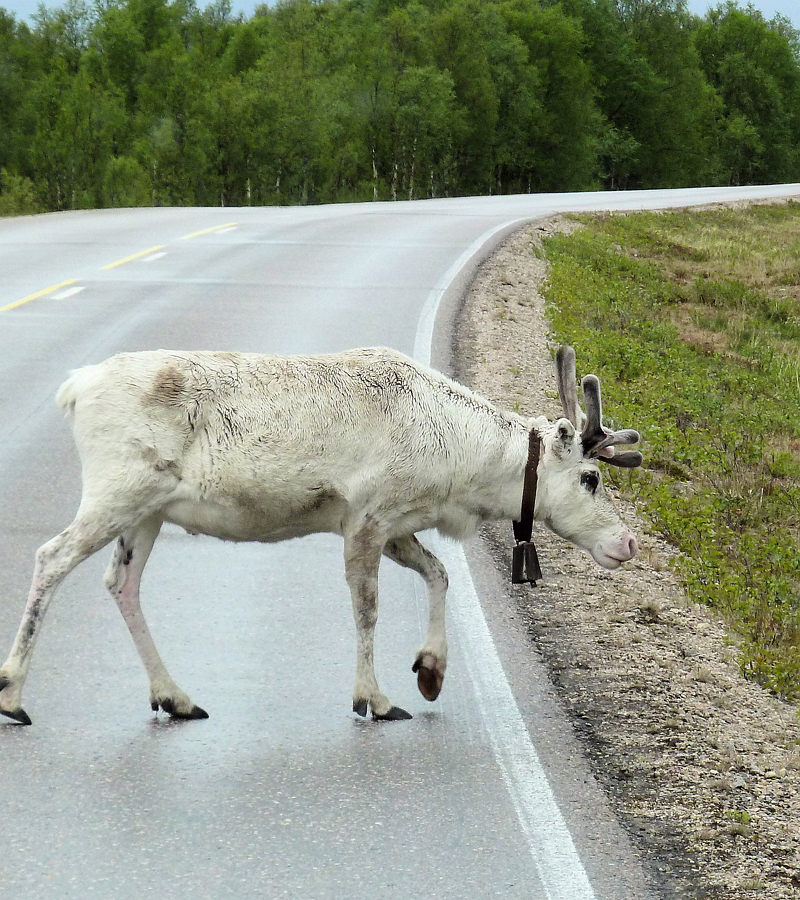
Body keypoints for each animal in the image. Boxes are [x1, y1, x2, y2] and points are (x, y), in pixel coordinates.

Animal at [0, 346, 641, 725]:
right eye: (590, 478)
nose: (629, 543)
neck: (463, 468)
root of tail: (74, 388)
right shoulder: (366, 519)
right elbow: (367, 609)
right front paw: (376, 699)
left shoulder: (396, 526)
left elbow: (440, 573)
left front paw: (431, 672)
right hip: (118, 492)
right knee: (52, 557)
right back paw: (12, 697)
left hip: (148, 513)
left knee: (121, 581)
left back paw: (175, 697)